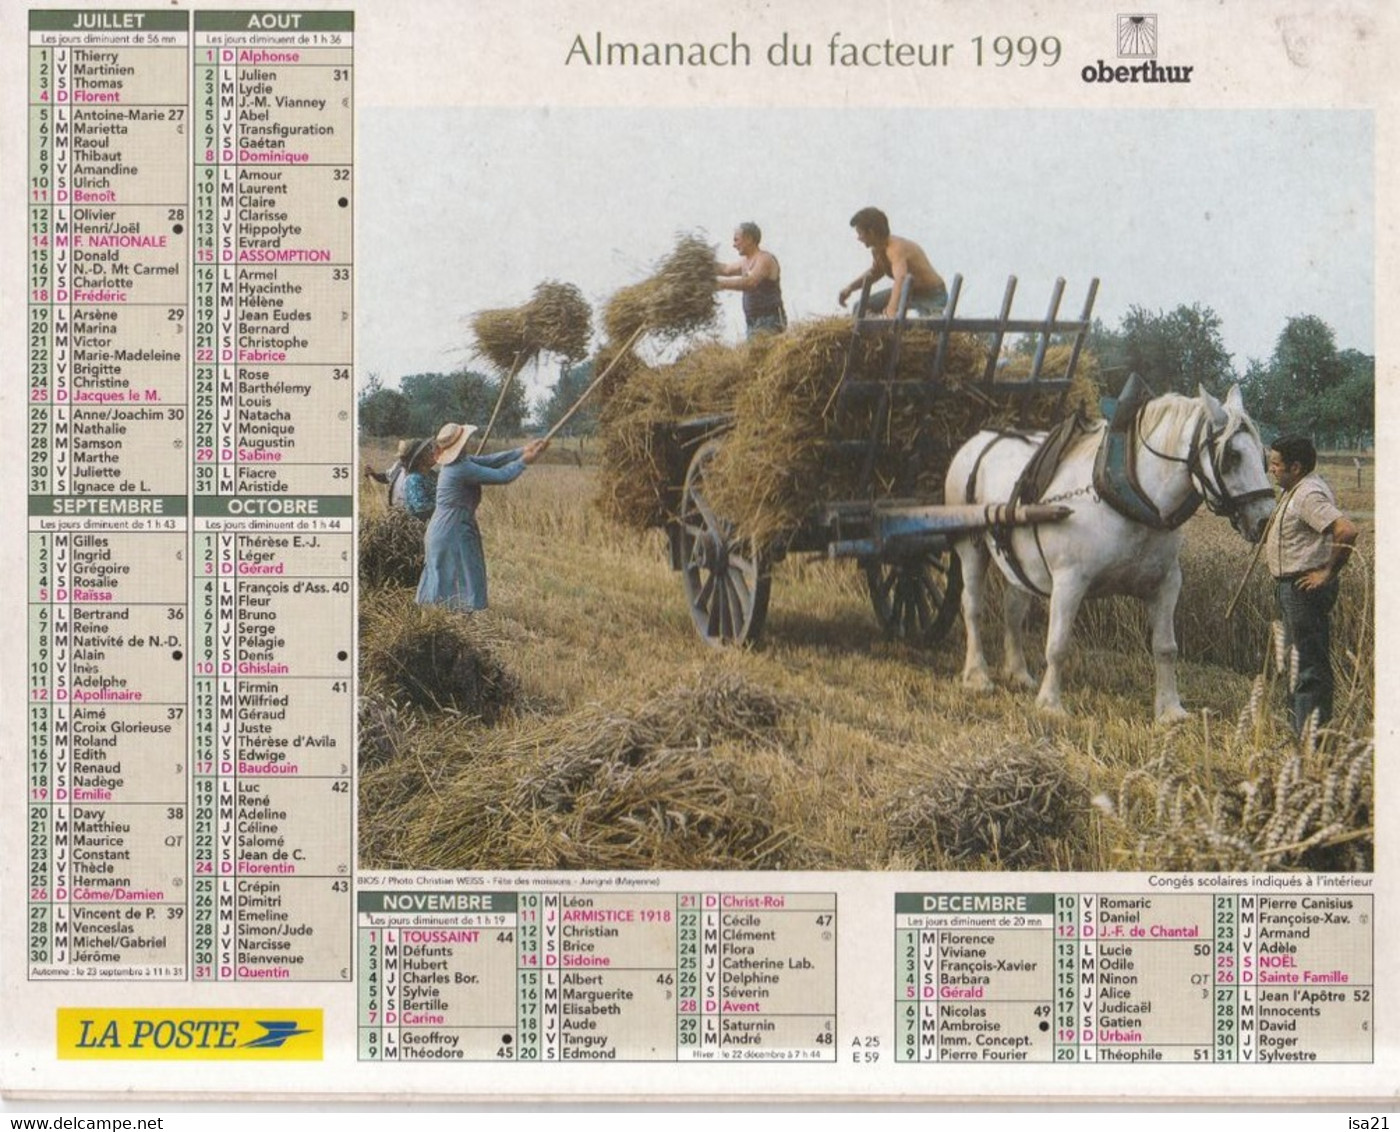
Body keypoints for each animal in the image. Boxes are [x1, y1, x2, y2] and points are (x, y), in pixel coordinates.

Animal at [946, 386, 1276, 722]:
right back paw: (977, 676)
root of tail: (980, 439)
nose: (1265, 521)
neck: (1130, 495)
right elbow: (1058, 645)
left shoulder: (1167, 583)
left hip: (1019, 562)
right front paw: (1051, 705)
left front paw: (1171, 710)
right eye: (1232, 456)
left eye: (1264, 457)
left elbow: (1166, 647)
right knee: (972, 607)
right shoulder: (1069, 581)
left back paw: (1018, 674)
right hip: (971, 547)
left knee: (1013, 610)